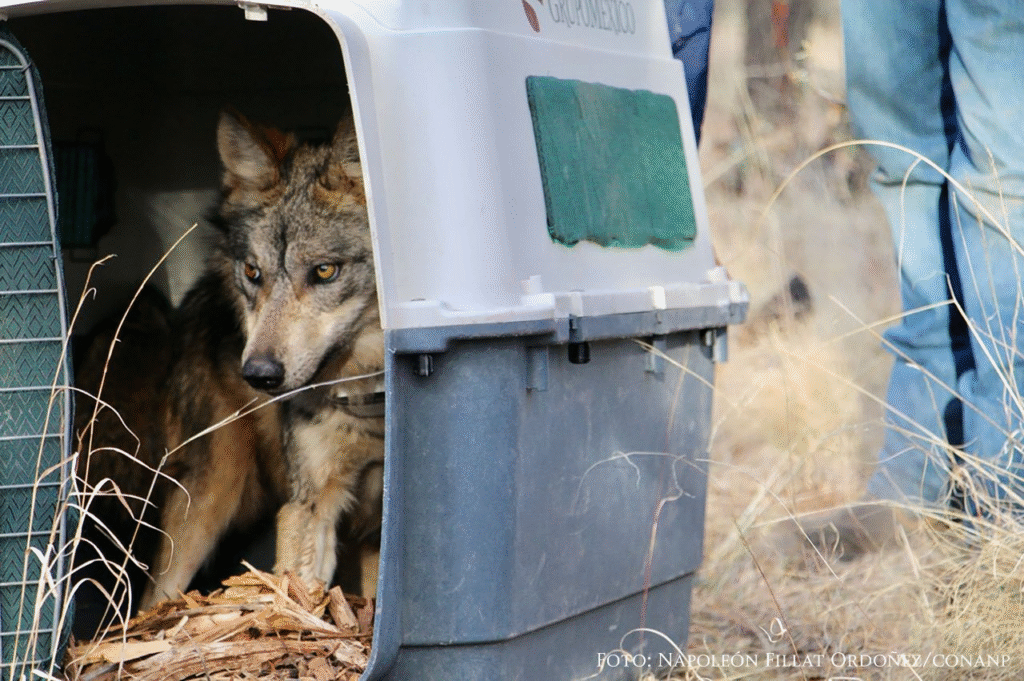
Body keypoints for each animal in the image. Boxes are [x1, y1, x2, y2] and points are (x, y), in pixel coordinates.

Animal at [75, 111, 384, 619]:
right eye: (254, 273)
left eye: (324, 271)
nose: (258, 375)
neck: (368, 393)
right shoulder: (308, 504)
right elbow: (301, 602)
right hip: (209, 497)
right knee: (153, 598)